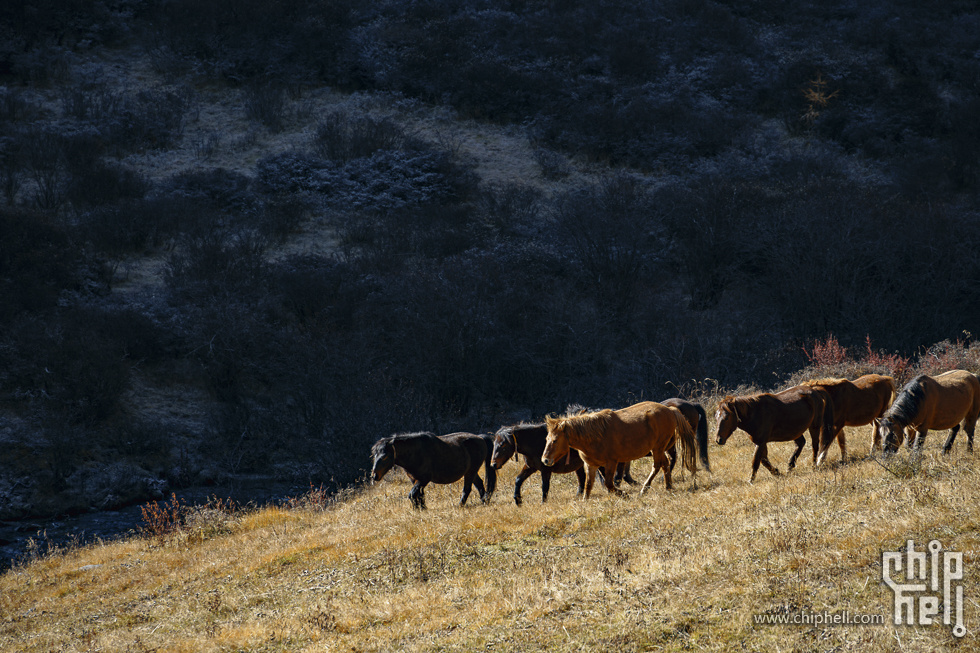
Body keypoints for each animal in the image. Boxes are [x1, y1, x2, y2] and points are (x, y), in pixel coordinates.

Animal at [370, 432, 498, 510]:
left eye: (385, 456)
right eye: (374, 455)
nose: (375, 476)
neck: (416, 453)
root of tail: (480, 438)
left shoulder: (423, 479)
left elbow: (412, 494)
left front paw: (417, 509)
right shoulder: (415, 480)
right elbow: (419, 494)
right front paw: (422, 508)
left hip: (471, 471)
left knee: (467, 489)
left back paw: (460, 505)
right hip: (471, 471)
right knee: (479, 484)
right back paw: (484, 501)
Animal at [536, 400, 696, 496]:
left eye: (555, 440)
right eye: (546, 439)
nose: (545, 460)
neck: (595, 435)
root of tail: (670, 410)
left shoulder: (611, 462)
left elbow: (609, 483)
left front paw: (623, 494)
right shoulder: (591, 465)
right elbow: (588, 485)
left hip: (658, 448)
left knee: (657, 466)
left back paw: (644, 489)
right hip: (660, 449)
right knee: (665, 464)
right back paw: (668, 486)